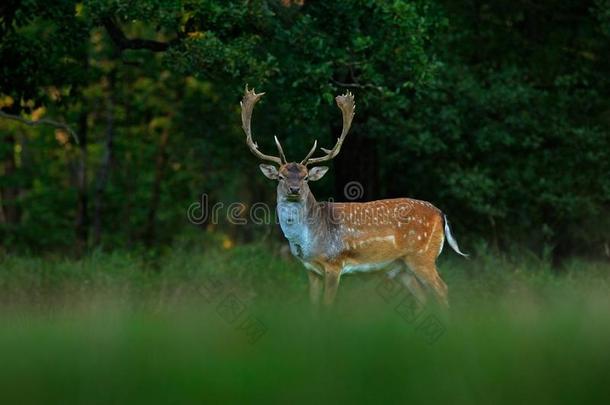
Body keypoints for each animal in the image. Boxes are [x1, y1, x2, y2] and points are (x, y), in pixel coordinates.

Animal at [239, 85, 466, 306]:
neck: (310, 239)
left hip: (423, 256)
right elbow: (312, 306)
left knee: (442, 290)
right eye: (280, 176)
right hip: (401, 266)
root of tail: (441, 214)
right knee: (422, 296)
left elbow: (327, 306)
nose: (294, 189)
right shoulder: (310, 270)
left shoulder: (334, 263)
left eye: (306, 178)